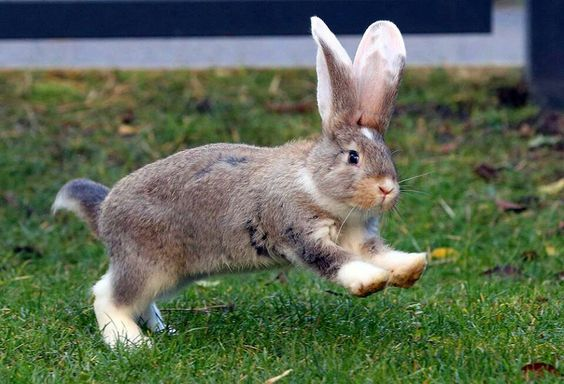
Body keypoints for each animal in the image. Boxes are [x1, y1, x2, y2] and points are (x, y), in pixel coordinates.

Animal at [53, 17, 428, 348]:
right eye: (353, 157)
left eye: (388, 154)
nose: (387, 188)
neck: (314, 182)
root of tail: (104, 211)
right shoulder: (301, 233)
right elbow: (336, 261)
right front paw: (372, 281)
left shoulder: (358, 238)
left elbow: (380, 254)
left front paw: (411, 267)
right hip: (148, 266)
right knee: (107, 296)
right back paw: (131, 344)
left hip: (171, 275)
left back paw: (162, 331)